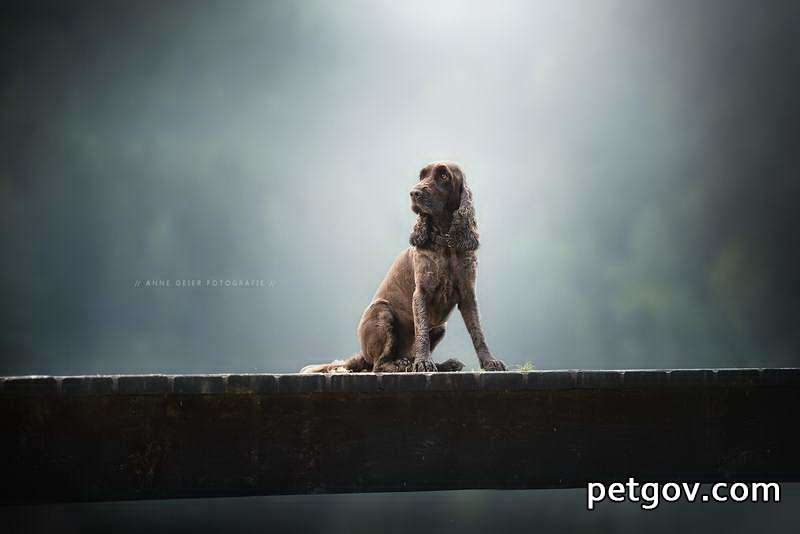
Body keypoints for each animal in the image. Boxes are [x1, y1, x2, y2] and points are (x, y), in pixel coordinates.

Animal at [302, 161, 506, 374]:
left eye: (444, 176)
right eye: (422, 175)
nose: (414, 193)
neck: (446, 243)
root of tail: (362, 355)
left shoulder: (468, 294)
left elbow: (478, 332)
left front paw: (489, 361)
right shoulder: (421, 294)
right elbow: (422, 332)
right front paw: (423, 362)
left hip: (441, 327)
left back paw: (444, 364)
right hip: (383, 312)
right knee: (379, 364)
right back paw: (402, 364)